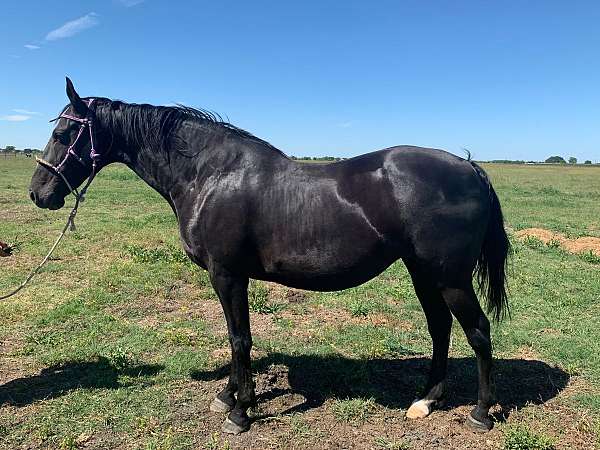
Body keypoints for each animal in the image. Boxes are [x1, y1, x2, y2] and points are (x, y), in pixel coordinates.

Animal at [28, 79, 506, 434]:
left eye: (62, 134)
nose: (39, 193)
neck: (209, 175)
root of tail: (469, 167)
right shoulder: (231, 277)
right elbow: (236, 337)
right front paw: (231, 395)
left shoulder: (226, 275)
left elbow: (240, 338)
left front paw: (240, 411)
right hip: (423, 273)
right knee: (441, 328)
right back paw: (426, 401)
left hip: (449, 278)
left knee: (478, 332)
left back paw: (482, 413)